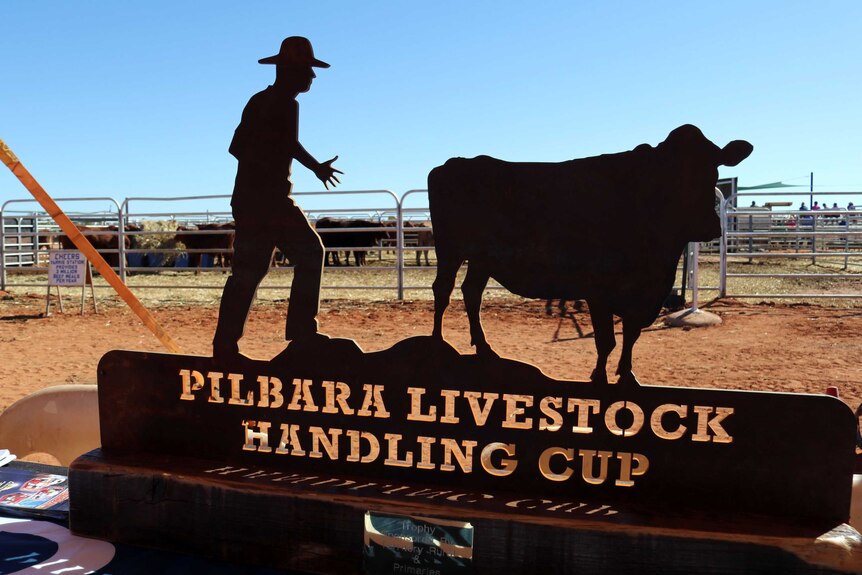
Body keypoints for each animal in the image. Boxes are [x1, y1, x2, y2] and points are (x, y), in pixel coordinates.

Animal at [428, 126, 752, 388]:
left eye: (714, 168)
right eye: (669, 175)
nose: (708, 226)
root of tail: (455, 163)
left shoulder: (644, 293)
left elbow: (631, 335)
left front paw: (627, 374)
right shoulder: (598, 290)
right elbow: (606, 340)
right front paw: (599, 376)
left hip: (481, 260)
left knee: (471, 293)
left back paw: (484, 347)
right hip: (449, 249)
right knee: (442, 290)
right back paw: (437, 342)